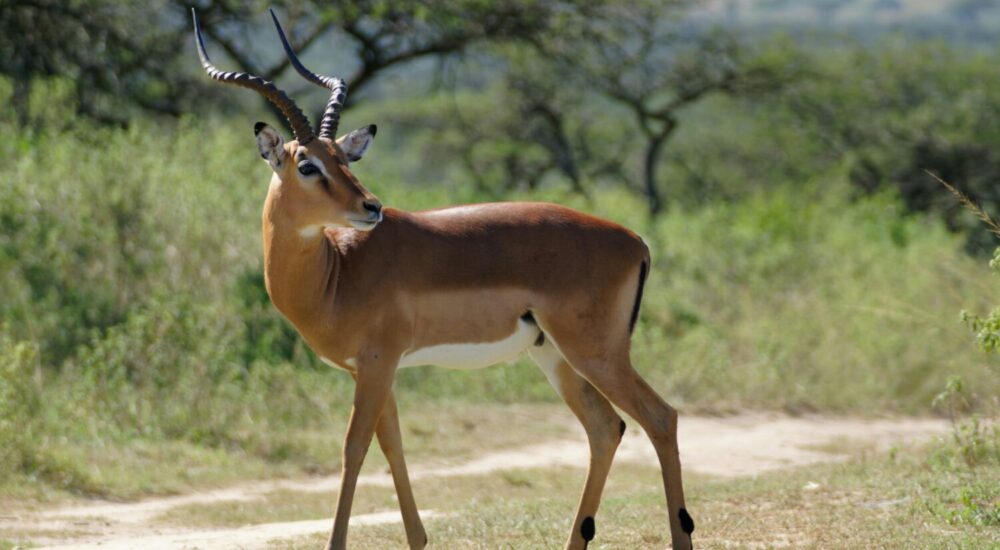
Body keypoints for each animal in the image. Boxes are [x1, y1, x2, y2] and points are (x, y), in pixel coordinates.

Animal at [192, 9, 693, 550]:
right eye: (308, 165)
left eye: (344, 160)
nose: (372, 207)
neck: (337, 273)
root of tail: (636, 240)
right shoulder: (375, 370)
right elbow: (392, 447)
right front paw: (418, 539)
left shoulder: (376, 364)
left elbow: (354, 448)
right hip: (554, 354)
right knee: (605, 428)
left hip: (595, 351)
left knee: (661, 417)